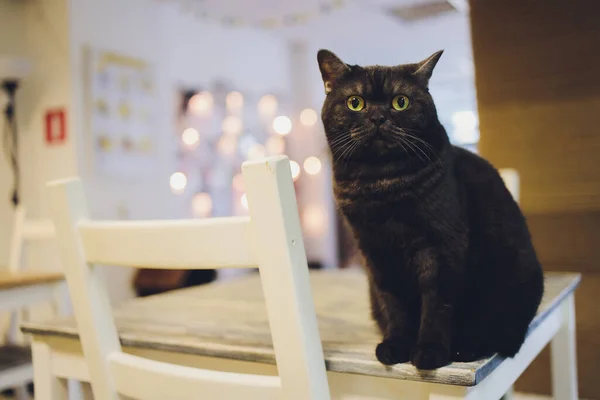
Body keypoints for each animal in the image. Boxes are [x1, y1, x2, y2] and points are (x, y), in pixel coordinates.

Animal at [318, 49, 544, 368]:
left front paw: (429, 351)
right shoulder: (376, 252)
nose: (378, 117)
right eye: (355, 102)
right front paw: (395, 345)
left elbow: (436, 301)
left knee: (503, 336)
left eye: (400, 102)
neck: (381, 183)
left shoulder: (441, 246)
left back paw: (465, 349)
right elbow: (394, 303)